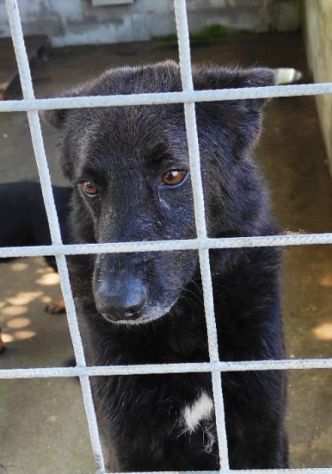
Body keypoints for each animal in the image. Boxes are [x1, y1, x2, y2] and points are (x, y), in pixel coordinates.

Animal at [44, 62, 288, 470]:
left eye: (173, 175)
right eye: (89, 186)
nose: (115, 306)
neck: (184, 327)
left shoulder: (263, 434)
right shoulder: (131, 446)